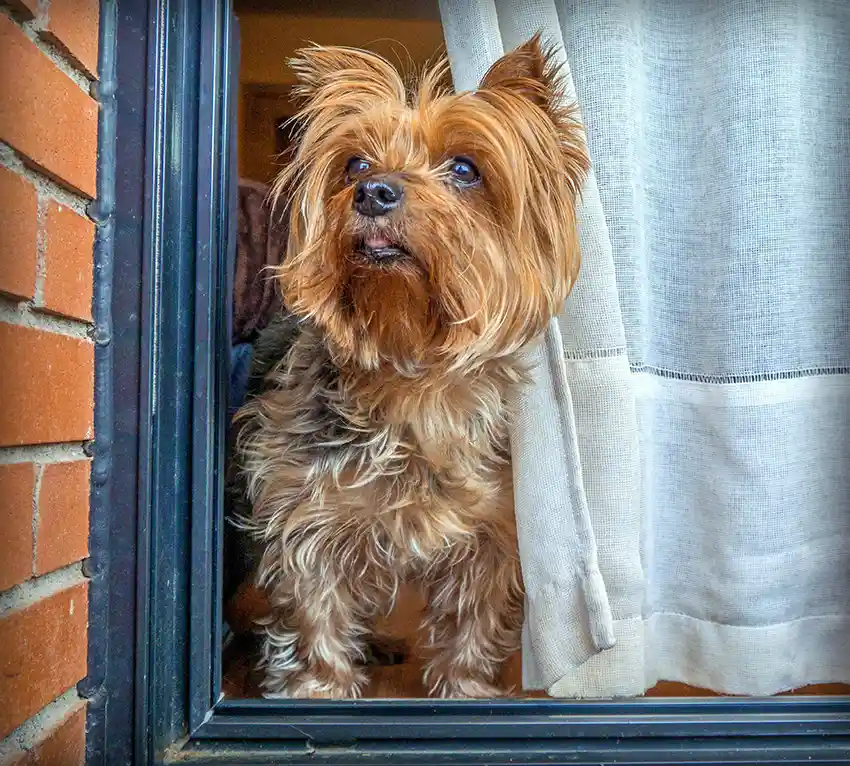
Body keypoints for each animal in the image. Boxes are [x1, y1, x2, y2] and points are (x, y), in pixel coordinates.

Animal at [234, 33, 588, 700]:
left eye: (465, 169)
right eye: (355, 166)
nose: (374, 192)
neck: (414, 374)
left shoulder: (491, 532)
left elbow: (475, 620)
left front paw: (467, 691)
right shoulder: (308, 513)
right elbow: (316, 611)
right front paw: (319, 691)